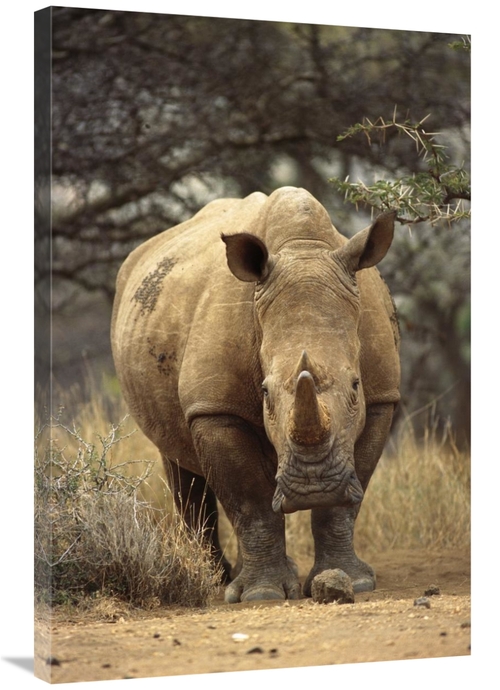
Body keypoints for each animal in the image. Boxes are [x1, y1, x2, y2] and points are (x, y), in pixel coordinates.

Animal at [111, 186, 400, 603]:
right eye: (264, 392)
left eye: (355, 387)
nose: (314, 487)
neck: (302, 249)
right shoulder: (215, 408)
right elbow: (248, 499)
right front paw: (261, 593)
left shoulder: (381, 398)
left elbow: (345, 502)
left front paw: (352, 581)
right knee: (180, 464)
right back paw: (217, 578)